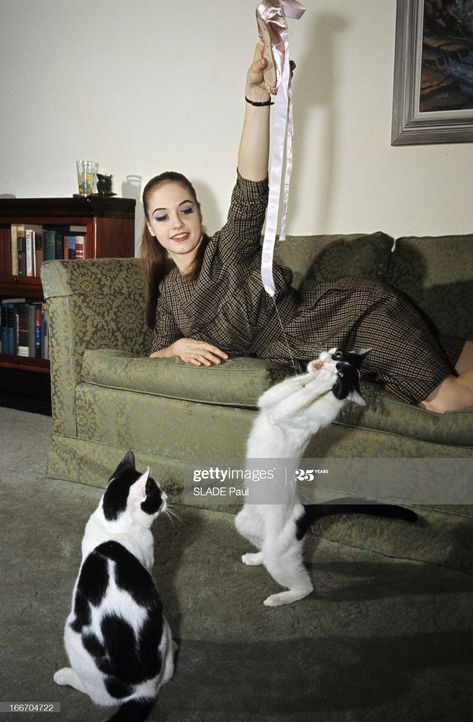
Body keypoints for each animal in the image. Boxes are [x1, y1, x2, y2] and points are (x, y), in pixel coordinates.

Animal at [234, 346, 414, 604]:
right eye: (339, 354)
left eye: (342, 374)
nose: (332, 361)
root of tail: (302, 512)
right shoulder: (269, 401)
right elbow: (289, 387)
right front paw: (312, 372)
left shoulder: (287, 413)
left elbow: (301, 396)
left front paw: (321, 381)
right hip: (245, 524)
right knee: (265, 550)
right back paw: (255, 558)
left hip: (280, 555)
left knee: (304, 586)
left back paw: (279, 599)